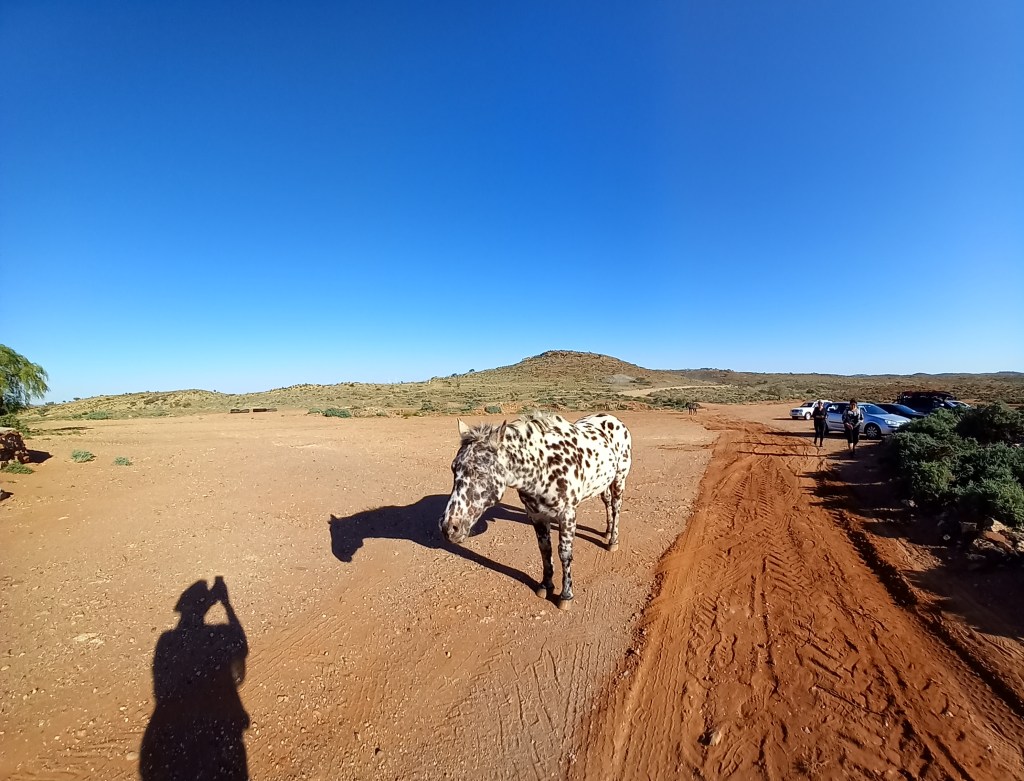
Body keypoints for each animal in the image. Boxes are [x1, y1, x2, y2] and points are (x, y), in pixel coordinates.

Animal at [439, 411, 632, 610]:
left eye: (480, 472)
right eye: (453, 468)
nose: (449, 527)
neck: (543, 468)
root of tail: (613, 419)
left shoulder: (567, 515)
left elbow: (564, 553)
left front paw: (566, 595)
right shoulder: (536, 515)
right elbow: (545, 550)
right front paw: (546, 585)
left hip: (619, 480)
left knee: (615, 507)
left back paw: (612, 541)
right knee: (607, 502)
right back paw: (607, 532)